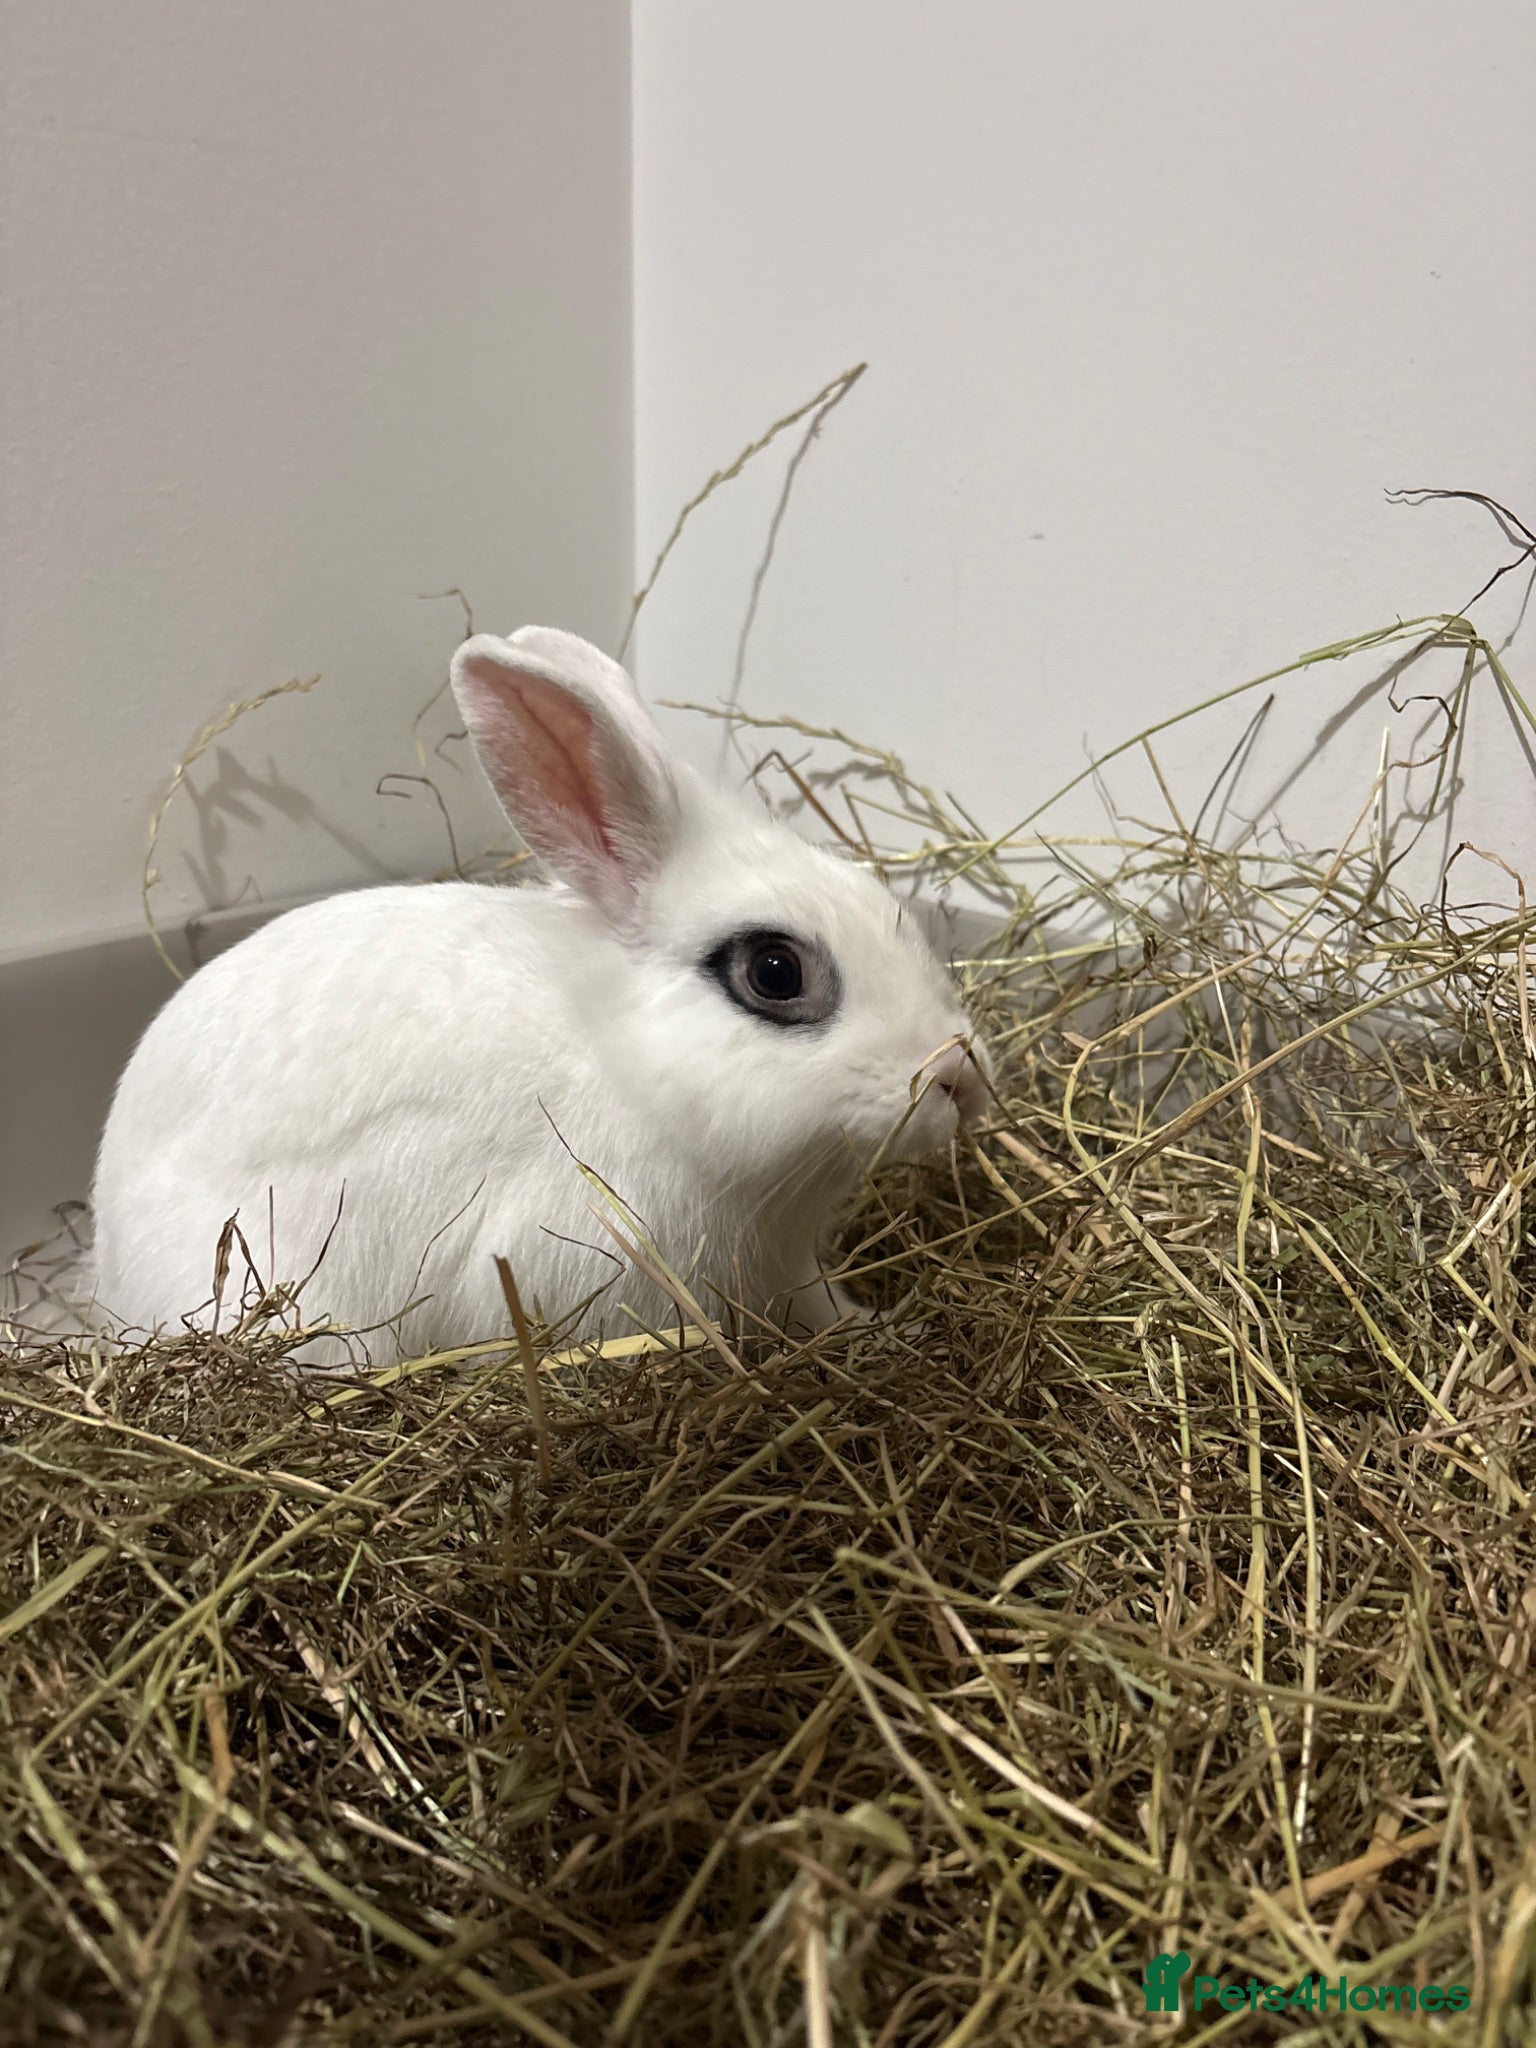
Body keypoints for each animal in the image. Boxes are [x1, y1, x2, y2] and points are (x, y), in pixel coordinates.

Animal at [90, 627, 991, 1360]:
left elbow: (824, 1308)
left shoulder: (790, 1262)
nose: (960, 1078)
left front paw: (882, 1327)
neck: (624, 1068)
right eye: (775, 973)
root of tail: (104, 1258)